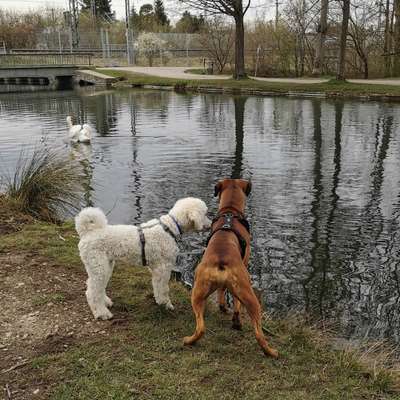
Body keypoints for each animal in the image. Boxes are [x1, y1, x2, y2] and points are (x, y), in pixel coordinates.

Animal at [76, 197, 211, 318]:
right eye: (204, 214)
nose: (210, 224)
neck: (169, 228)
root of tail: (88, 232)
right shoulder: (164, 268)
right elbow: (164, 289)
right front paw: (166, 304)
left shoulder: (156, 269)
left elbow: (157, 287)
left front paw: (160, 301)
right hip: (99, 266)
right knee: (92, 292)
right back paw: (101, 313)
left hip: (105, 266)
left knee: (97, 287)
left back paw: (106, 302)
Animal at [184, 180, 278, 358]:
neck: (230, 211)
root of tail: (221, 261)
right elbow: (236, 304)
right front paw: (236, 320)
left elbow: (222, 295)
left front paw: (223, 308)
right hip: (249, 294)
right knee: (258, 333)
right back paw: (271, 352)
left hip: (197, 294)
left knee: (201, 327)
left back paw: (189, 341)